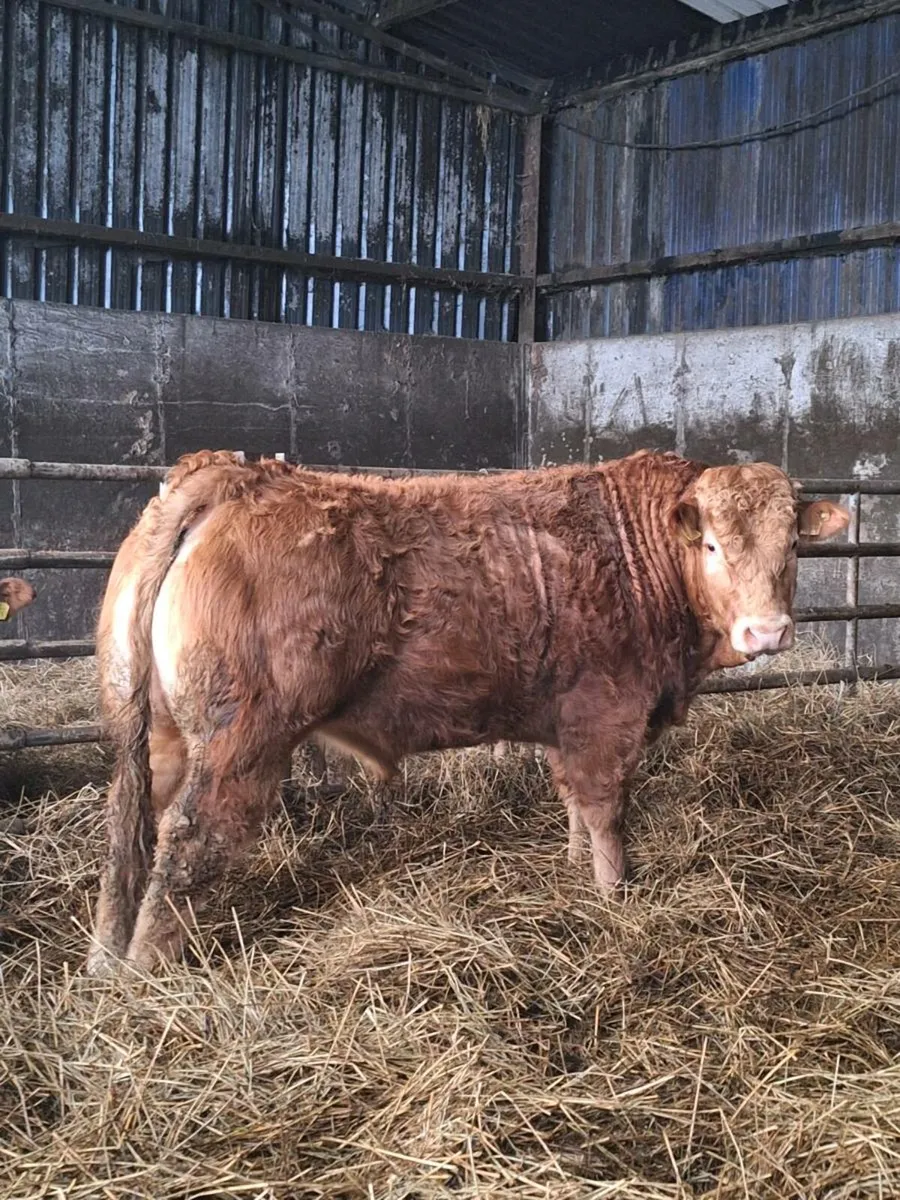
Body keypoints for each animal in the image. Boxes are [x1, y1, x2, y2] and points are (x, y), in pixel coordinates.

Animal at [86, 449, 848, 975]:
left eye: (793, 545)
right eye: (713, 544)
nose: (767, 633)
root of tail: (237, 477)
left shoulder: (564, 722)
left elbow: (574, 804)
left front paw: (573, 870)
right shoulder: (607, 715)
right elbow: (606, 813)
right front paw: (614, 898)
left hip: (155, 734)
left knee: (130, 828)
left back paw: (105, 958)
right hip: (240, 738)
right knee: (189, 841)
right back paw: (147, 977)